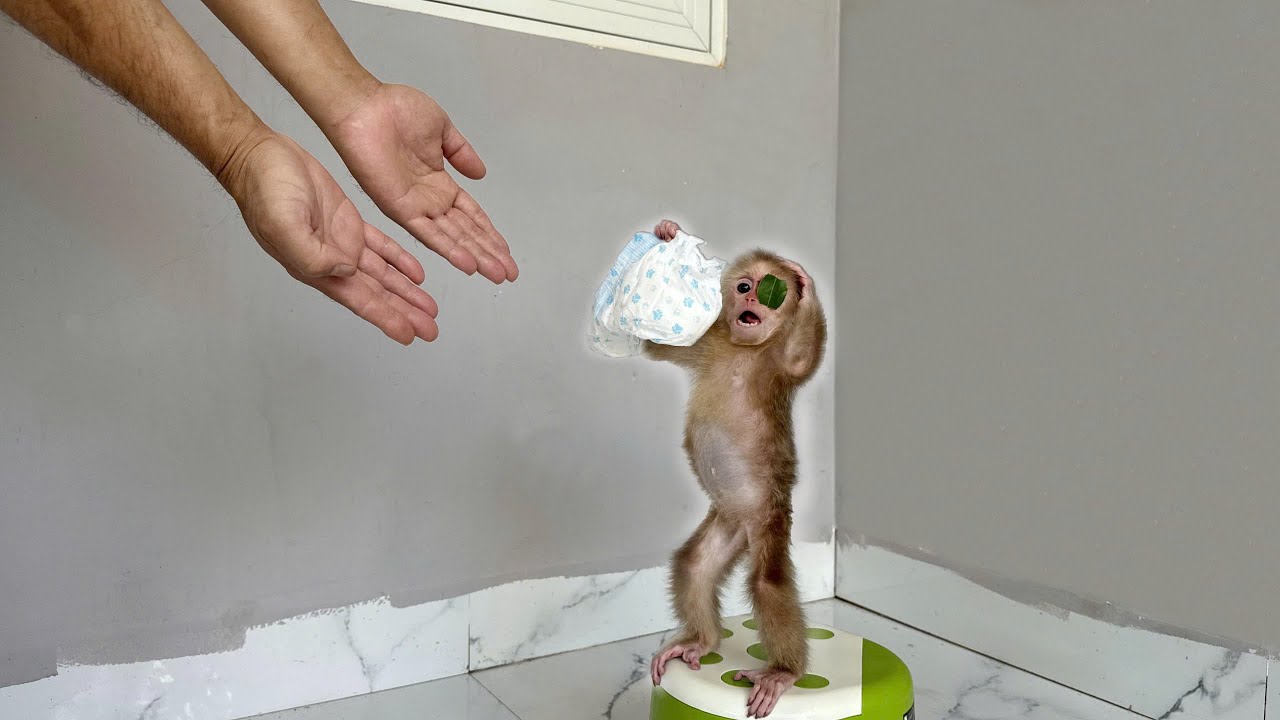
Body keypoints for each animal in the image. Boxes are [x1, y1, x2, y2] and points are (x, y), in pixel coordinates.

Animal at [645, 219, 826, 718]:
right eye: (743, 286)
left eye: (769, 293)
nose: (750, 303)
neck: (746, 350)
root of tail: (746, 527)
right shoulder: (708, 345)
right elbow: (655, 347)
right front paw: (667, 233)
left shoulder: (781, 364)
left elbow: (804, 354)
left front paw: (807, 287)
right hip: (727, 524)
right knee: (694, 564)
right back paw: (701, 640)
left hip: (769, 520)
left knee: (767, 582)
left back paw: (784, 673)